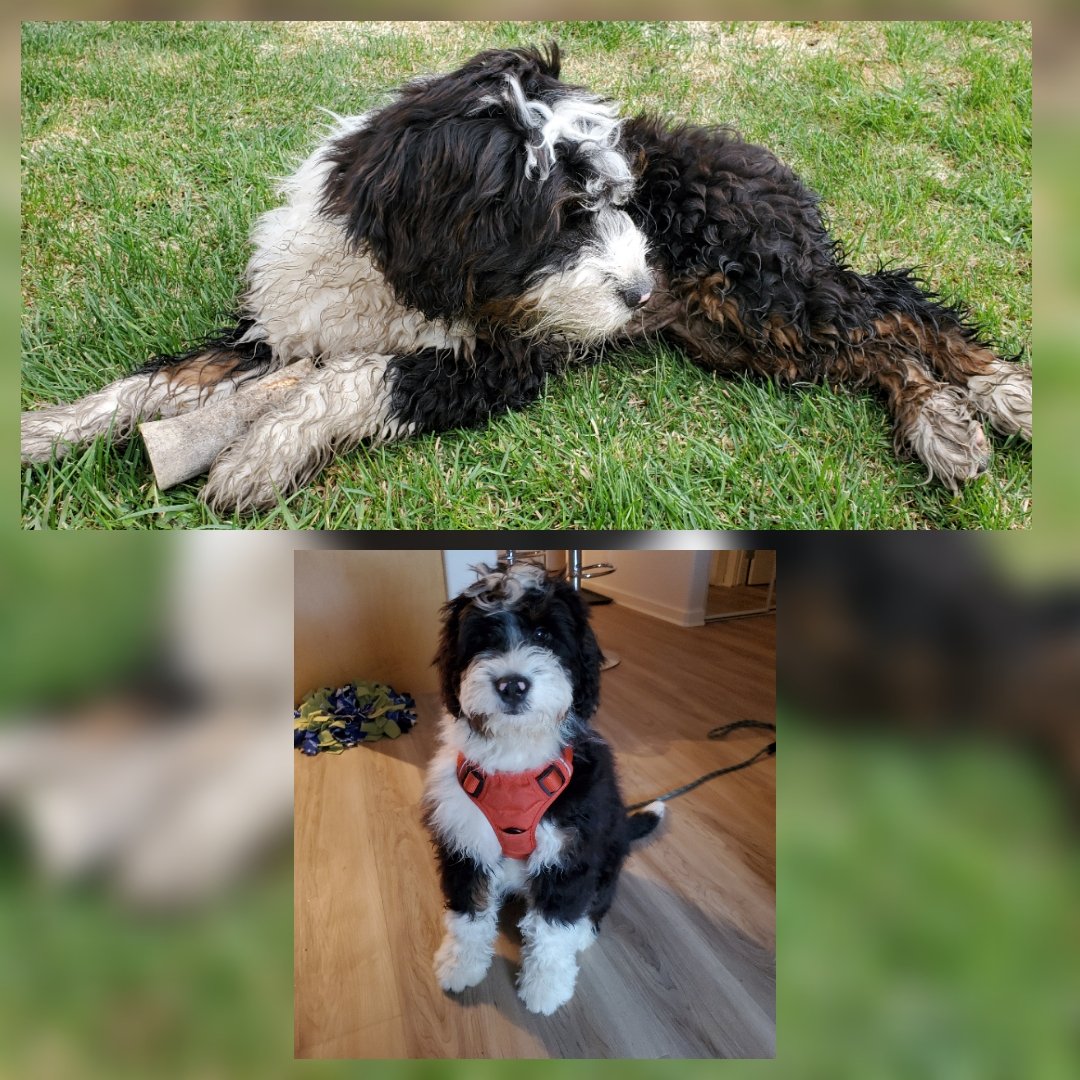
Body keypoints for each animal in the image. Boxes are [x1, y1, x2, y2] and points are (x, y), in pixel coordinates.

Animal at [419, 561, 656, 1015]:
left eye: (545, 635)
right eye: (484, 638)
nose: (512, 684)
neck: (515, 755)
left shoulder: (569, 852)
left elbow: (553, 926)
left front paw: (545, 987)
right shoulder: (464, 842)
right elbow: (468, 914)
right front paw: (461, 966)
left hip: (609, 847)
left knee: (597, 900)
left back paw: (583, 931)